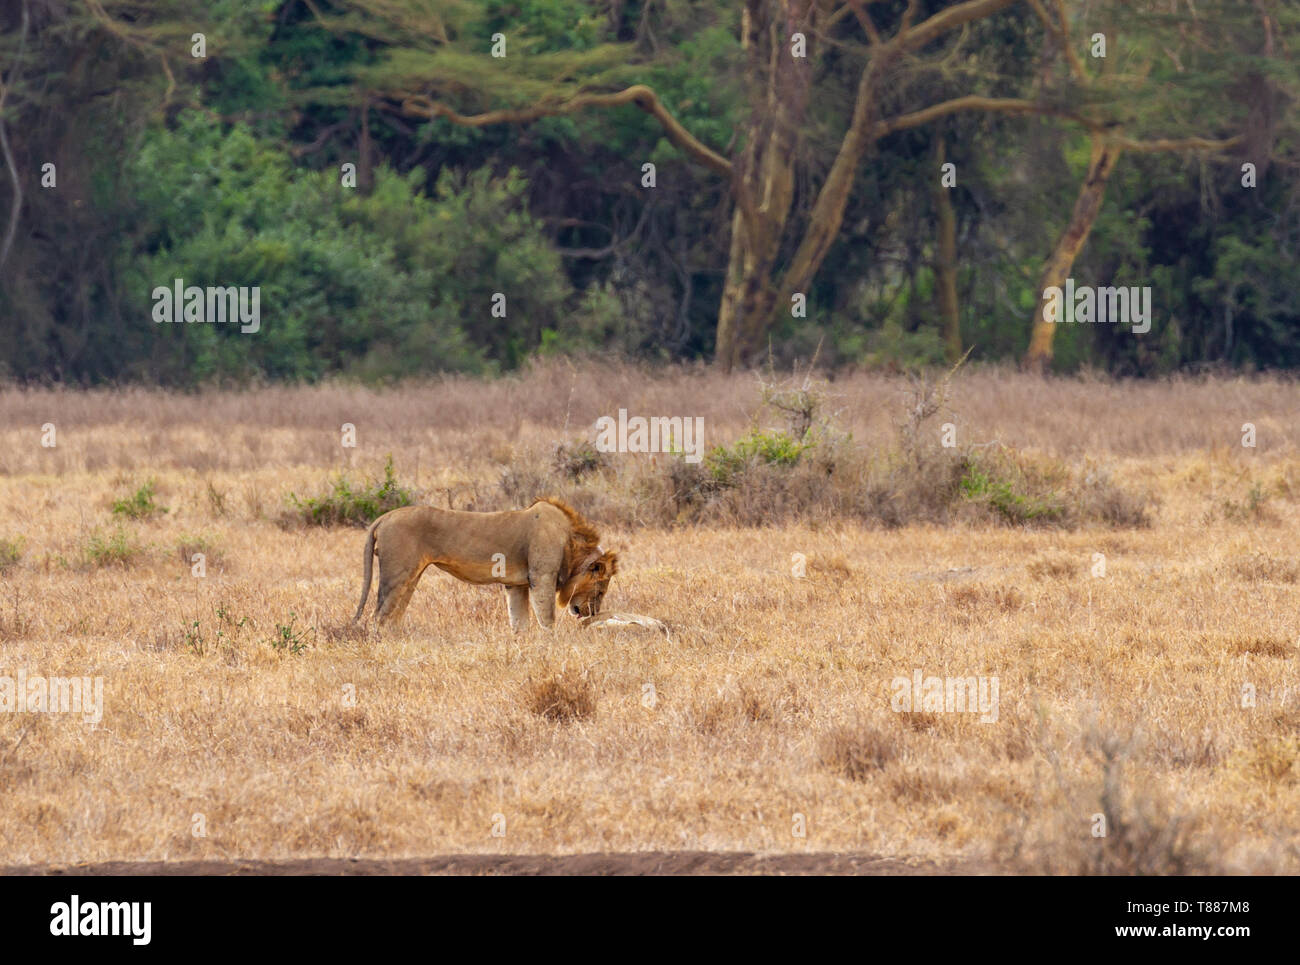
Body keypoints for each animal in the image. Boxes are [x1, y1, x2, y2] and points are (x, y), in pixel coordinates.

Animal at [351, 499, 618, 634]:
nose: (592, 613)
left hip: (411, 576)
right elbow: (547, 618)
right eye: (601, 590)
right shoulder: (541, 578)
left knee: (393, 616)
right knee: (379, 616)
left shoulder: (516, 585)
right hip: (397, 575)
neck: (570, 542)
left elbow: (519, 623)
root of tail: (385, 516)